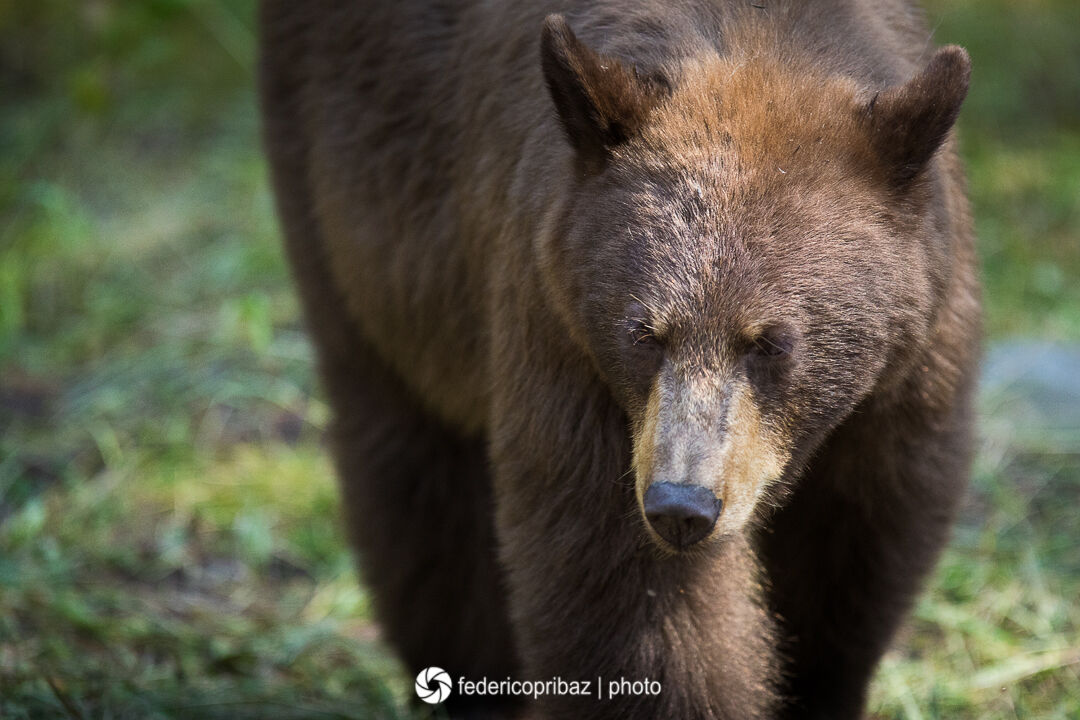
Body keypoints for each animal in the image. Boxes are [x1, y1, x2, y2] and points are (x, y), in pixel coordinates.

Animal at [258, 0, 979, 718]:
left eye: (773, 341)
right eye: (643, 333)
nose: (681, 507)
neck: (760, 37)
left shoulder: (914, 363)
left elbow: (860, 539)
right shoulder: (561, 324)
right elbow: (623, 586)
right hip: (355, 220)